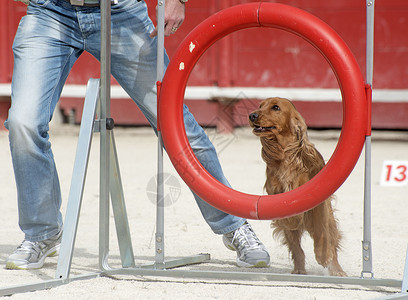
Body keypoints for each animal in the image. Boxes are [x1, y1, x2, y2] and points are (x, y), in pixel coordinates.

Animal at [247, 96, 346, 276]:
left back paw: (337, 270)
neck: (287, 155)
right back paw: (299, 270)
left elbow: (322, 232)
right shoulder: (276, 194)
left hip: (329, 220)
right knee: (296, 248)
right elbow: (289, 222)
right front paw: (292, 219)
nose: (252, 115)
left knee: (331, 241)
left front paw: (323, 256)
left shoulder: (318, 202)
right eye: (260, 105)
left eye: (276, 107)